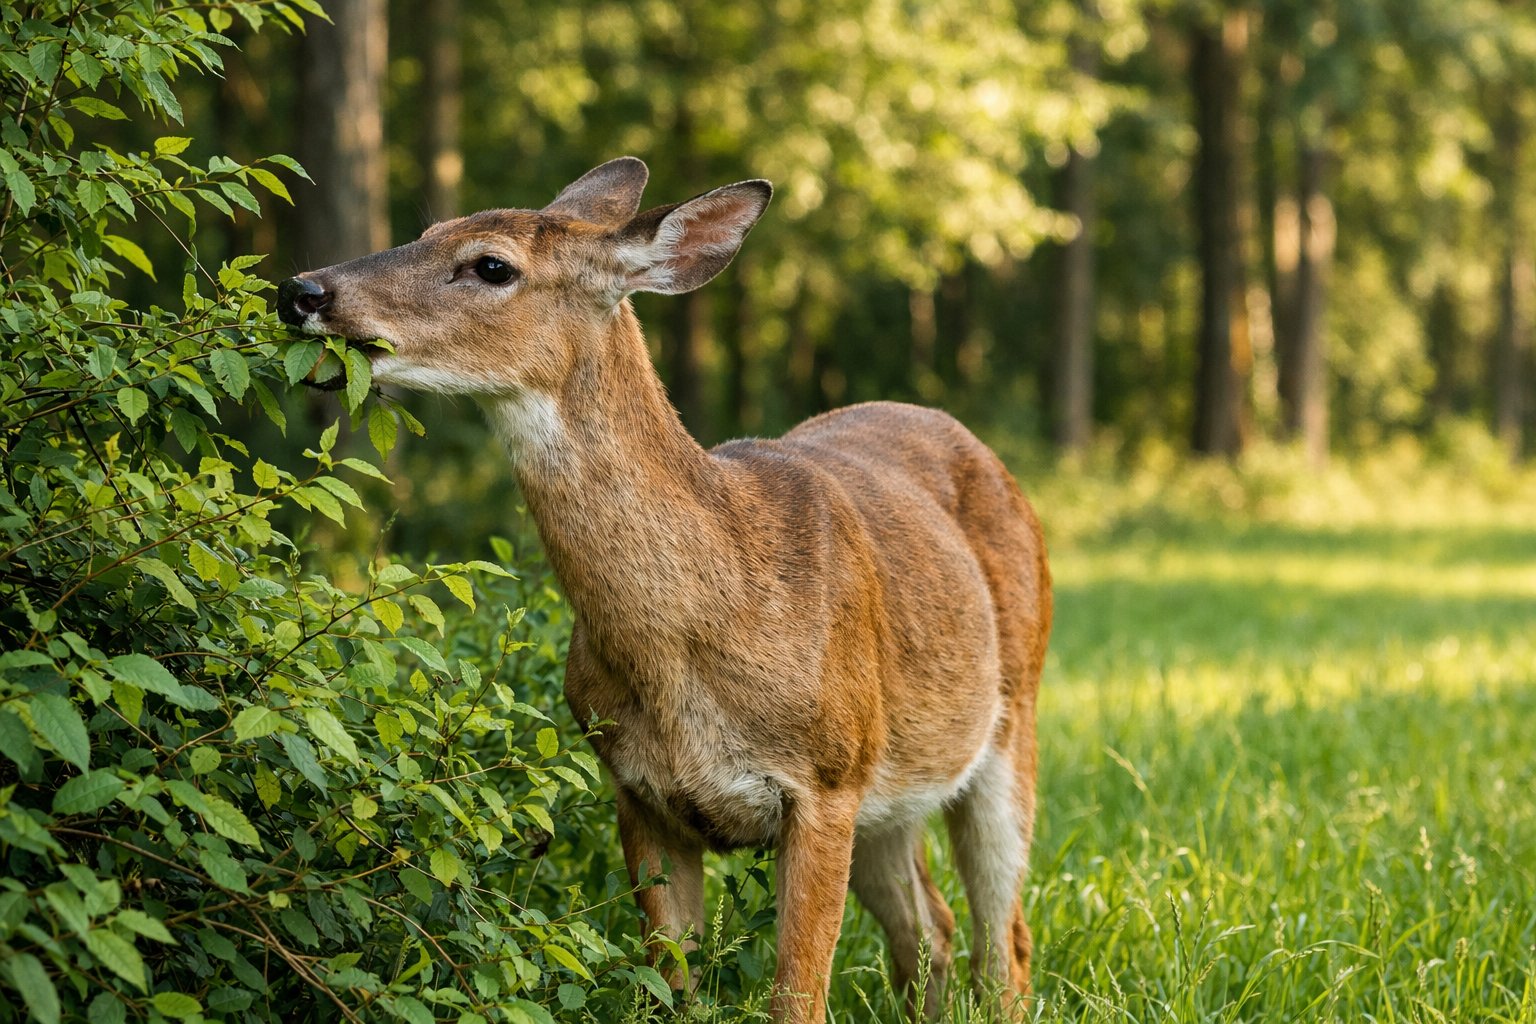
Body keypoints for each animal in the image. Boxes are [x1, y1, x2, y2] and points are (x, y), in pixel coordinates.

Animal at [276, 157, 1052, 1023]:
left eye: (492, 265)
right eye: (425, 230)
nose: (303, 290)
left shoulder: (826, 778)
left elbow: (797, 998)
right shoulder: (638, 788)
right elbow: (671, 987)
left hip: (1009, 717)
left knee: (1006, 935)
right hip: (892, 787)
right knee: (930, 927)